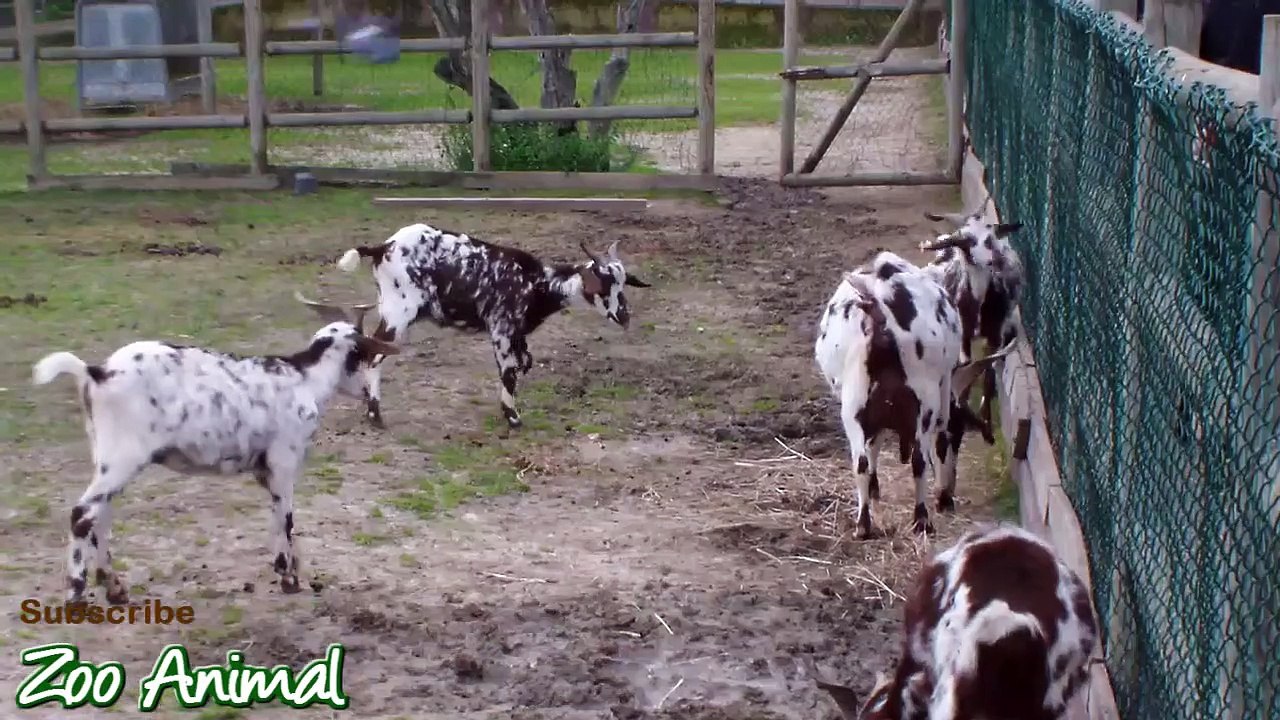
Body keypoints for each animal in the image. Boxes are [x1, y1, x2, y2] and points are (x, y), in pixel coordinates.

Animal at [31, 316, 399, 604]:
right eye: (365, 355)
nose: (368, 395)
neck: (305, 379)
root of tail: (97, 372)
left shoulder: (263, 468)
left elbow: (275, 515)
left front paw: (284, 569)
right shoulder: (284, 458)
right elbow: (287, 517)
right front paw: (290, 580)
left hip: (106, 455)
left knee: (100, 515)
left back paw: (115, 589)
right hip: (123, 456)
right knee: (83, 514)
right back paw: (76, 594)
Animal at [303, 223, 650, 429]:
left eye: (624, 283)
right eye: (605, 284)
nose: (624, 316)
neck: (537, 284)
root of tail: (381, 248)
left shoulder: (518, 336)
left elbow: (523, 364)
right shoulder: (501, 329)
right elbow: (509, 373)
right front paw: (513, 418)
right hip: (398, 312)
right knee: (375, 356)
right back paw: (375, 414)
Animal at [814, 251, 1013, 539]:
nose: (947, 497)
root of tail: (878, 309)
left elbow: (873, 447)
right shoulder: (943, 394)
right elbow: (940, 441)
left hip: (854, 405)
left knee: (860, 461)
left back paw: (863, 525)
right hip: (924, 401)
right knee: (919, 458)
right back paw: (922, 519)